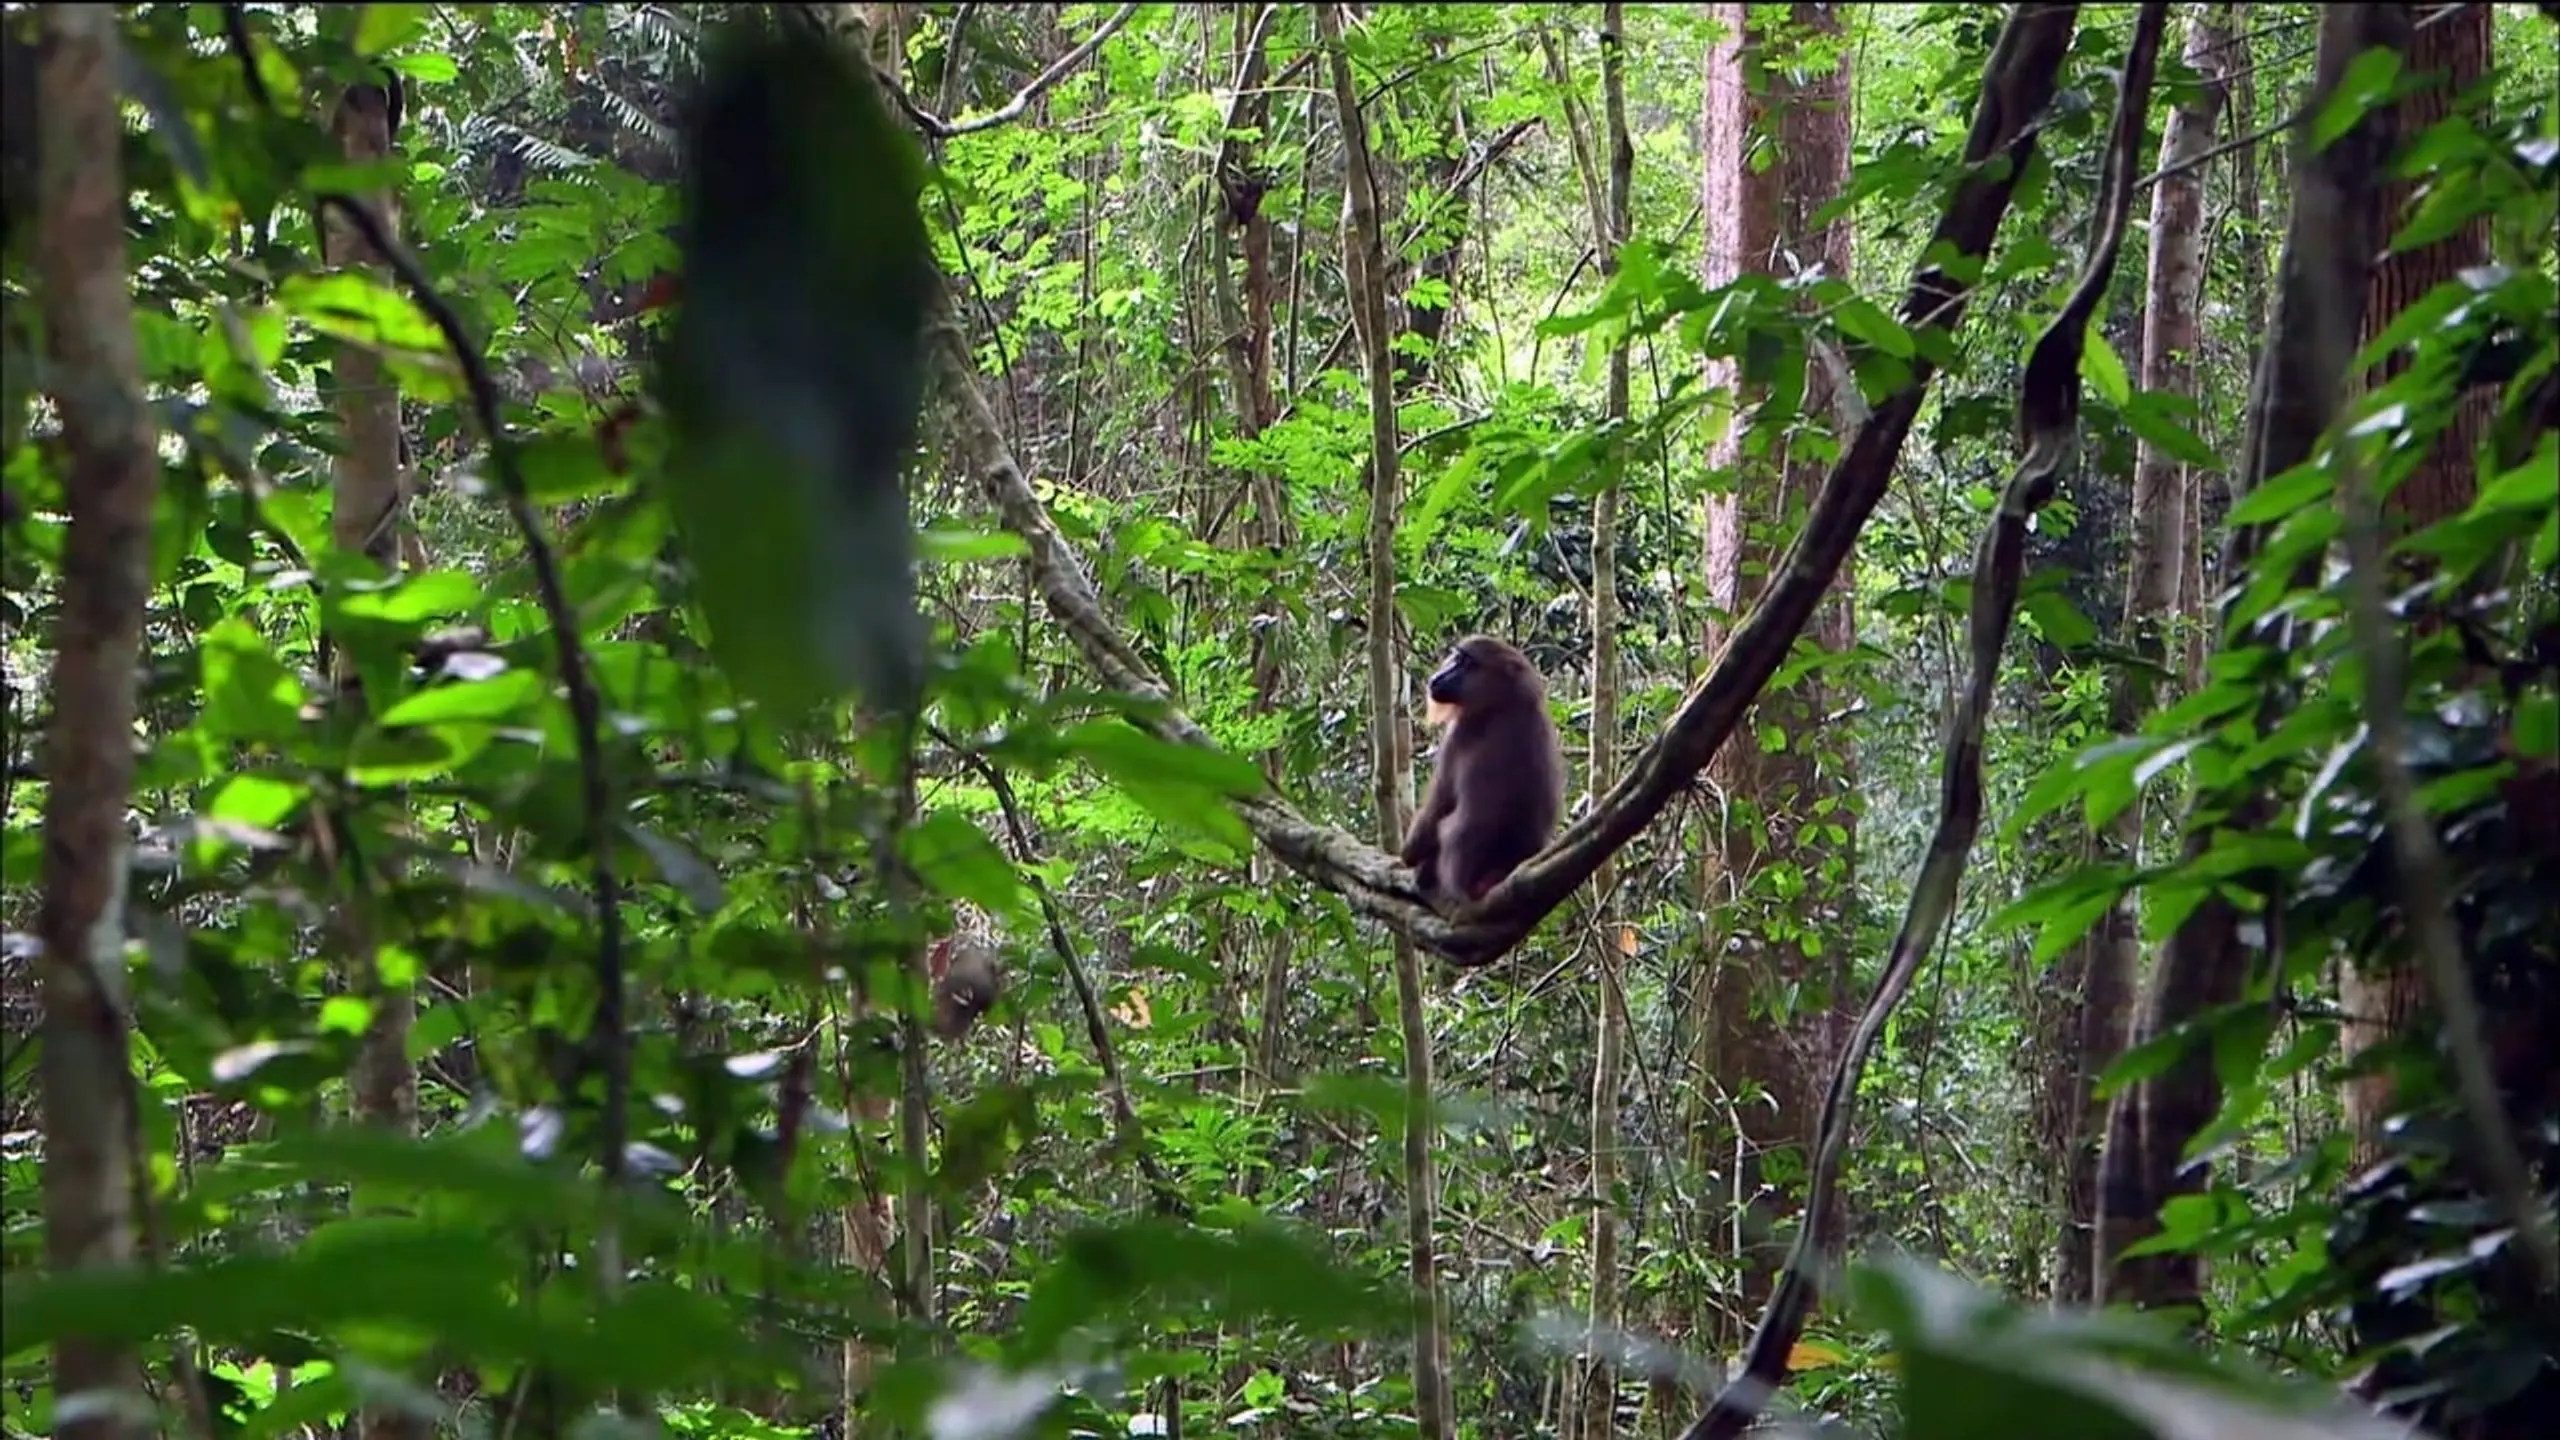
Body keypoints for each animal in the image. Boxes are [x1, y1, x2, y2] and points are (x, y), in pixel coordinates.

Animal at [1402, 635, 1556, 901]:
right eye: (1456, 658)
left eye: (1465, 662)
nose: (1438, 678)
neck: (1504, 704)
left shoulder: (1457, 733)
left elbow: (1437, 808)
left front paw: (1409, 855)